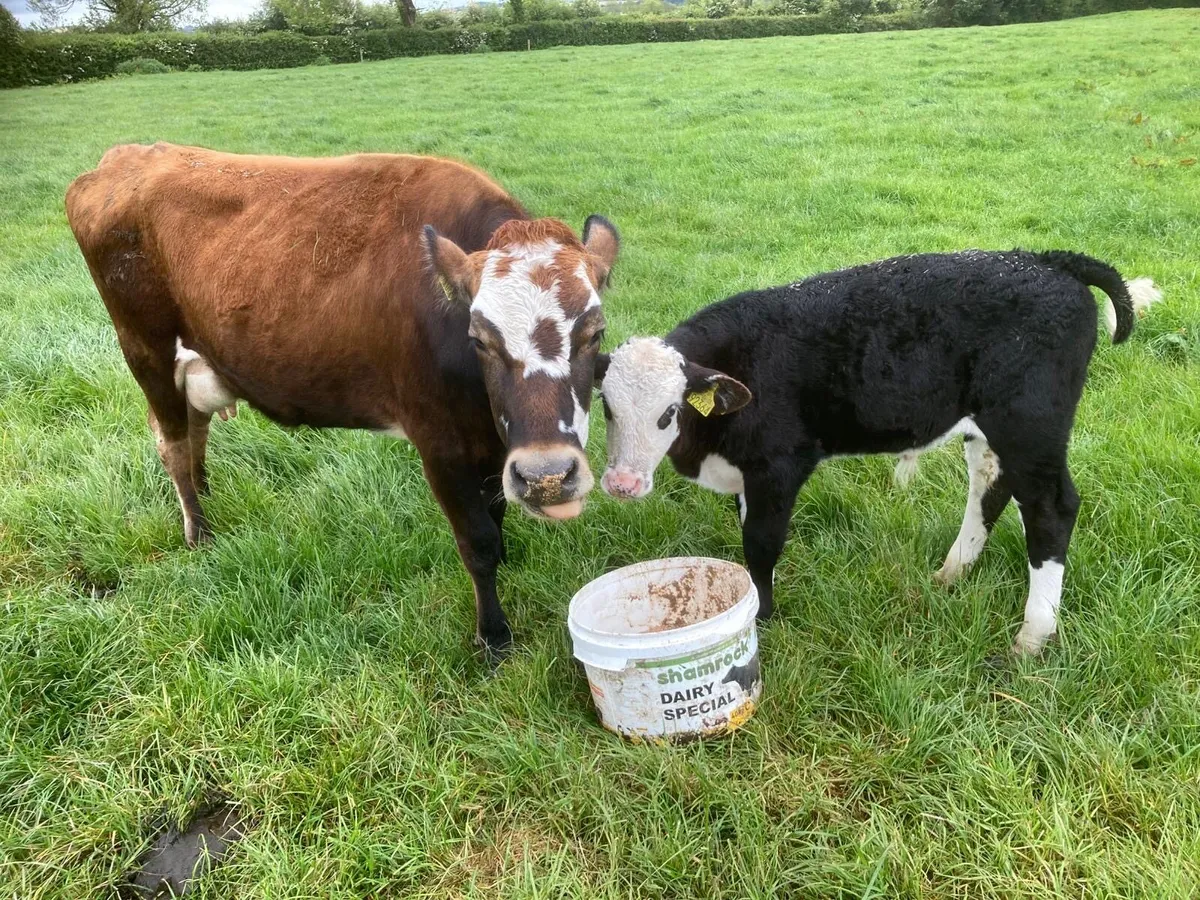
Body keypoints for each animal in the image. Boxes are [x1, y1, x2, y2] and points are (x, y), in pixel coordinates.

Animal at [65, 142, 620, 655]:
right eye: (479, 338)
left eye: (595, 332)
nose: (548, 477)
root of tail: (124, 157)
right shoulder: (439, 442)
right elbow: (477, 541)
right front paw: (493, 636)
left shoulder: (494, 445)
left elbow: (496, 517)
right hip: (144, 349)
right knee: (174, 443)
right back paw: (198, 530)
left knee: (194, 427)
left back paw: (205, 495)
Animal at [595, 251, 1160, 656]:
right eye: (606, 406)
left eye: (669, 412)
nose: (622, 484)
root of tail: (1047, 260)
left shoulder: (779, 467)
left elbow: (759, 544)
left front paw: (761, 618)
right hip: (994, 430)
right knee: (992, 487)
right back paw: (953, 573)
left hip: (1031, 424)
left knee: (1051, 509)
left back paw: (1033, 635)